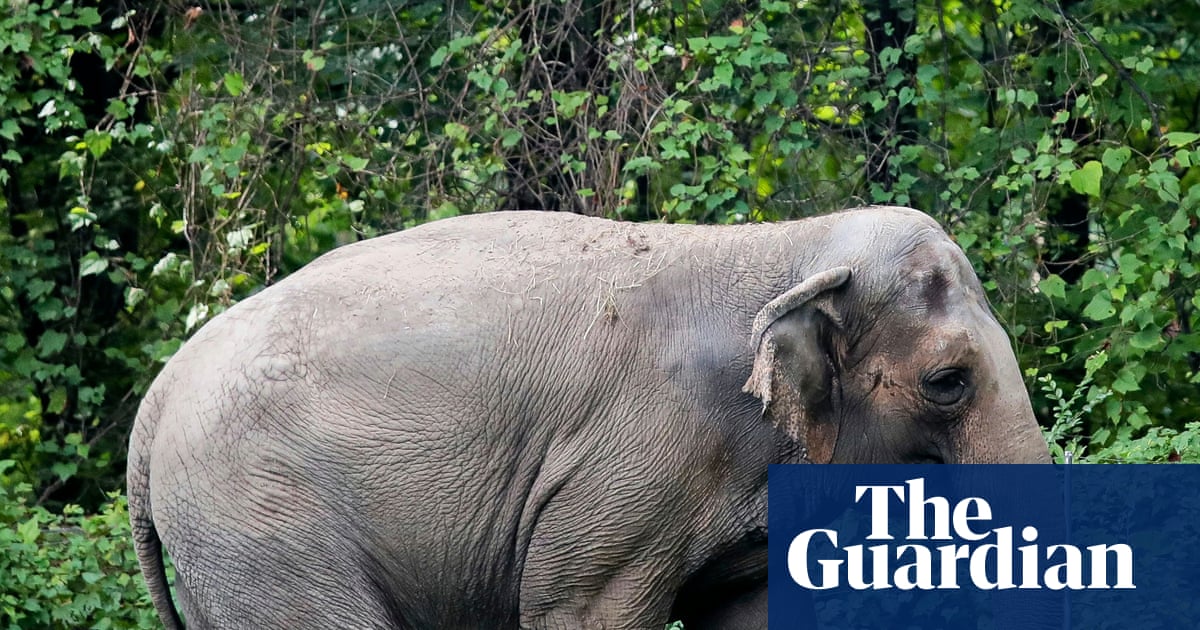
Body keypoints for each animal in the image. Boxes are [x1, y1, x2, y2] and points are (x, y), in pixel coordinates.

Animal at [127, 206, 1050, 629]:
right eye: (948, 382)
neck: (783, 244)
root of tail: (155, 401)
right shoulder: (636, 462)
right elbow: (583, 611)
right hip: (260, 521)